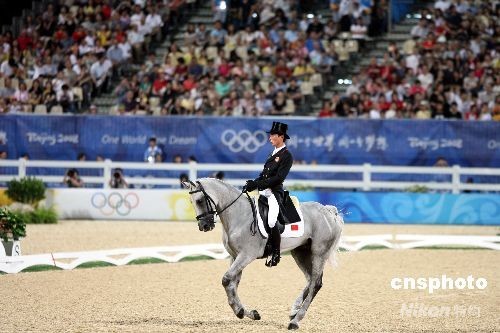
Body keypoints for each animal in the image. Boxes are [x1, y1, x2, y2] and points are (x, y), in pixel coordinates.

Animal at [185, 178, 344, 328]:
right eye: (191, 202)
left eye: (199, 200)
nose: (204, 226)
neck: (239, 214)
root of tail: (329, 212)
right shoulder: (235, 256)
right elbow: (232, 284)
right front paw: (246, 312)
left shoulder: (246, 255)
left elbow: (226, 279)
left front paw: (240, 311)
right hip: (300, 252)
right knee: (310, 280)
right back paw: (294, 311)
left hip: (319, 253)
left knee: (316, 283)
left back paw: (295, 321)